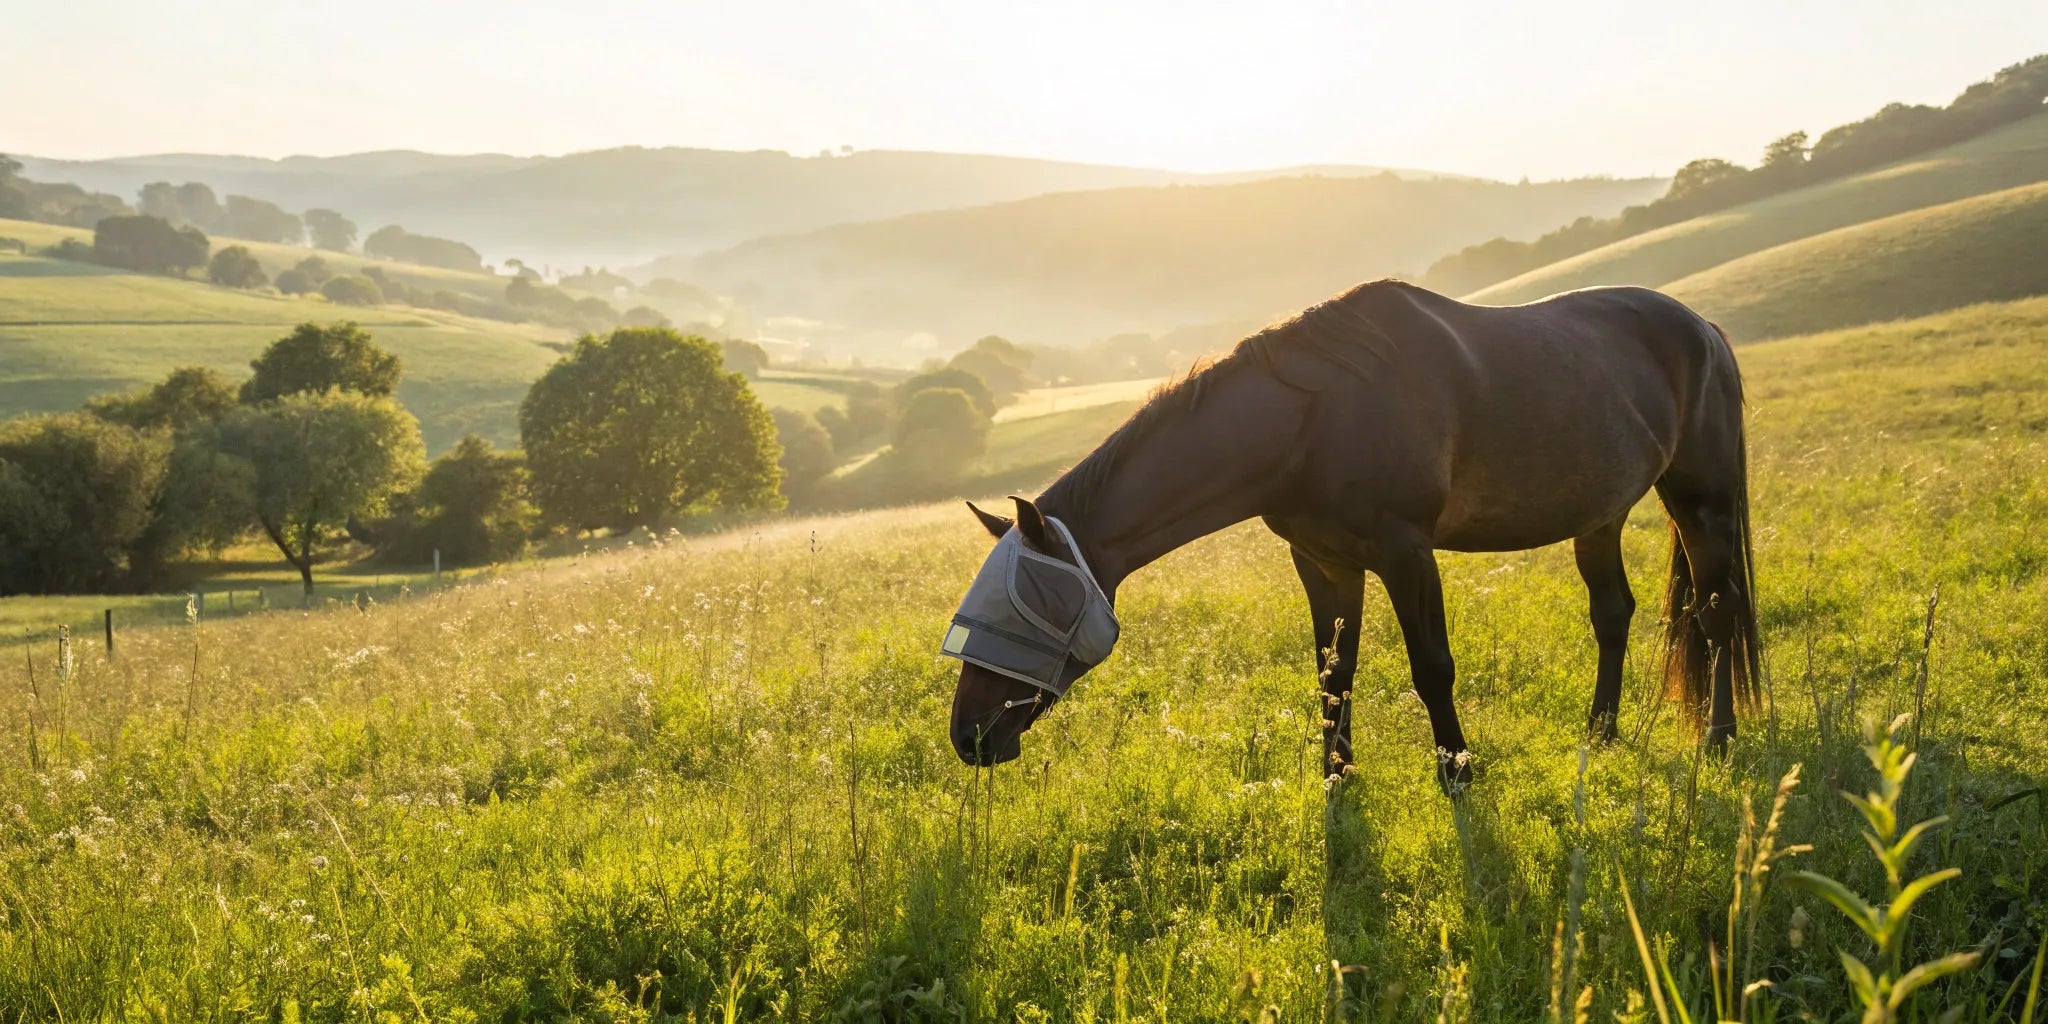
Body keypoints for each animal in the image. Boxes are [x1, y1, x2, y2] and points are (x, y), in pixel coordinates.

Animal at [942, 280, 1760, 790]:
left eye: (1037, 602)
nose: (969, 737)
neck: (1313, 420)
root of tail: (1704, 329)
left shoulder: (1405, 553)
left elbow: (1432, 667)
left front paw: (1456, 770)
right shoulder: (1324, 562)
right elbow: (1333, 672)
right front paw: (1337, 775)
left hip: (1702, 501)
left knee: (1717, 616)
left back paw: (1719, 739)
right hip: (1601, 514)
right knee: (1613, 614)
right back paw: (1602, 732)